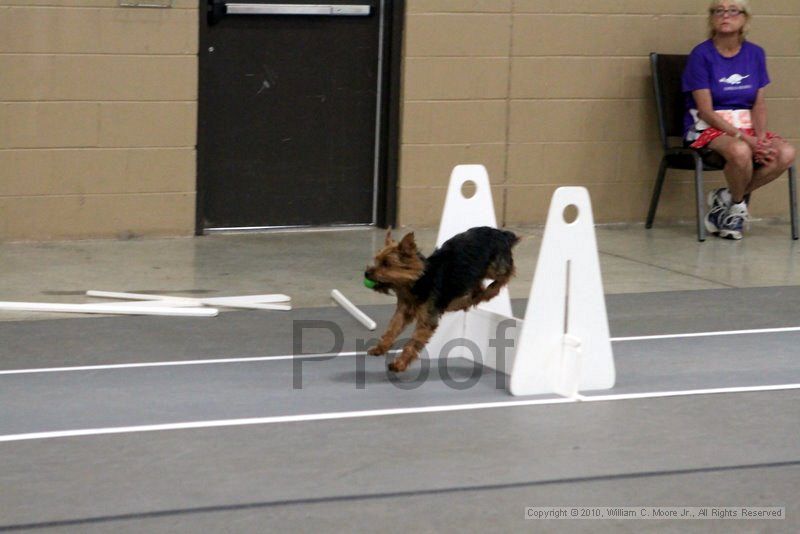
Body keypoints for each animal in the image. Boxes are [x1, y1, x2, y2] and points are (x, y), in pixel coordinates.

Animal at [362, 228, 520, 374]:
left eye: (386, 264)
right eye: (376, 260)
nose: (366, 273)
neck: (416, 283)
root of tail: (502, 233)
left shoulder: (427, 320)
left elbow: (412, 343)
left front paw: (400, 364)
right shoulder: (403, 311)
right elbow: (392, 329)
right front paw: (380, 348)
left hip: (494, 266)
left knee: (505, 275)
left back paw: (490, 290)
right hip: (473, 274)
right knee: (478, 289)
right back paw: (467, 301)